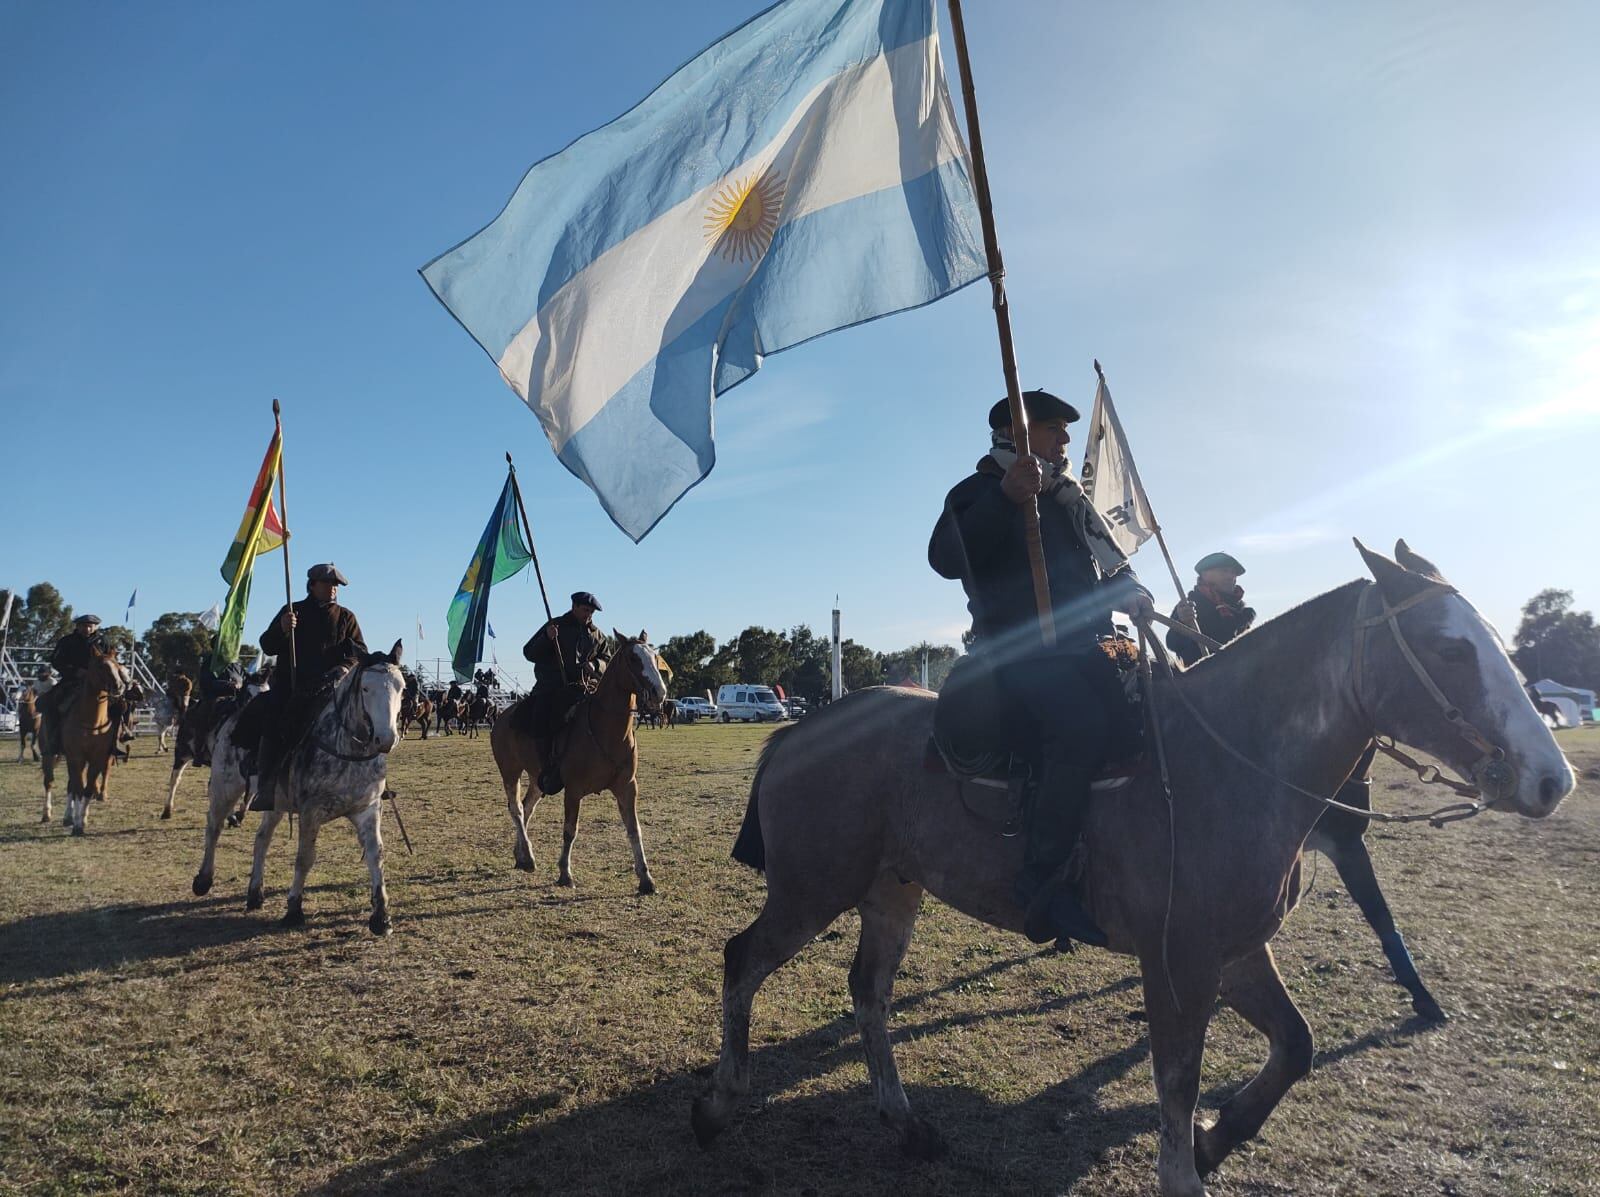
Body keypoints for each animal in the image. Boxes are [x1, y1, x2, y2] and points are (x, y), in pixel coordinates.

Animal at [192, 646, 406, 934]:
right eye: (366, 688)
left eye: (401, 688)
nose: (386, 739)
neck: (344, 748)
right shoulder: (310, 812)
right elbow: (305, 857)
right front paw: (294, 909)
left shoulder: (368, 809)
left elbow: (376, 854)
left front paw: (381, 916)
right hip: (224, 786)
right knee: (213, 828)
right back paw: (203, 880)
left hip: (273, 801)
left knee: (262, 839)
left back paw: (255, 893)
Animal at [486, 630, 662, 896]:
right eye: (633, 658)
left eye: (654, 656)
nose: (659, 692)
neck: (603, 729)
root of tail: (502, 715)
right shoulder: (573, 790)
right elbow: (570, 830)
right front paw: (565, 874)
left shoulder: (628, 788)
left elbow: (634, 829)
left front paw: (645, 878)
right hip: (510, 772)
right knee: (516, 809)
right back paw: (528, 856)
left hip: (537, 778)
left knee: (527, 807)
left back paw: (521, 856)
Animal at [697, 544, 1574, 1197]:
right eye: (1450, 646)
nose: (1552, 778)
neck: (1230, 758)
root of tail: (800, 728)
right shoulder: (1178, 965)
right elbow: (1176, 1079)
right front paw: (1190, 1163)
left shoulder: (1235, 952)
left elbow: (1296, 1045)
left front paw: (1219, 1139)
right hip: (814, 889)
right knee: (744, 958)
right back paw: (726, 1097)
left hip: (891, 889)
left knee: (868, 990)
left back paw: (902, 1119)